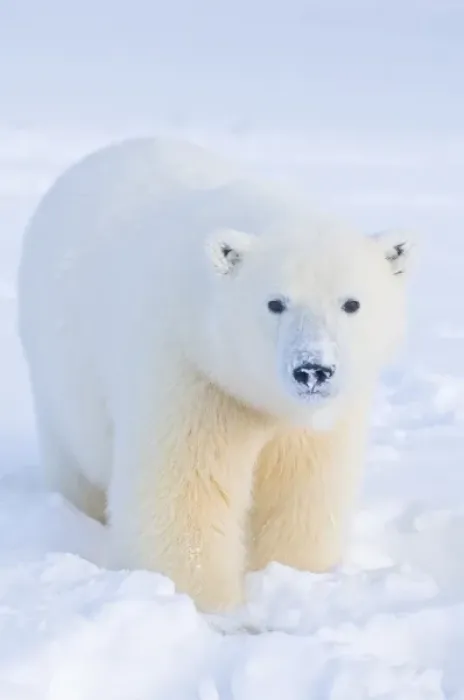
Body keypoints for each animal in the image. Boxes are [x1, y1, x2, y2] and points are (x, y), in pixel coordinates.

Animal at [17, 137, 411, 612]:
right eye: (275, 302)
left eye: (351, 303)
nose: (312, 370)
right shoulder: (191, 375)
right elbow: (185, 496)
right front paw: (214, 610)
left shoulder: (321, 419)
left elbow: (303, 492)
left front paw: (293, 578)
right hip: (57, 379)